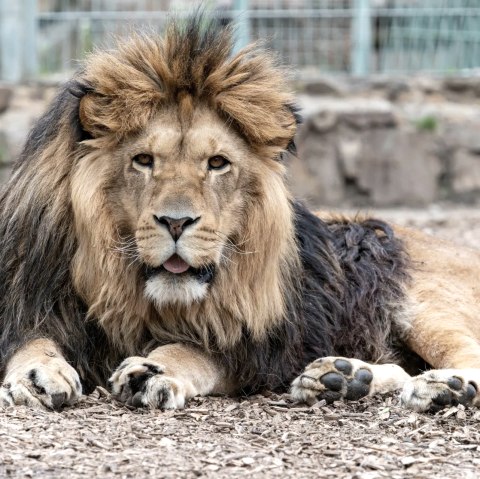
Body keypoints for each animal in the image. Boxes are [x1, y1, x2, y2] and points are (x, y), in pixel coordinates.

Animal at [0, 15, 480, 412]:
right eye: (143, 160)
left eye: (217, 163)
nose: (176, 222)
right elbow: (32, 338)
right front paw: (37, 373)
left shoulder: (256, 344)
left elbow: (191, 349)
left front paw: (153, 370)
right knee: (398, 368)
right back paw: (340, 378)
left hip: (426, 303)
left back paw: (446, 387)